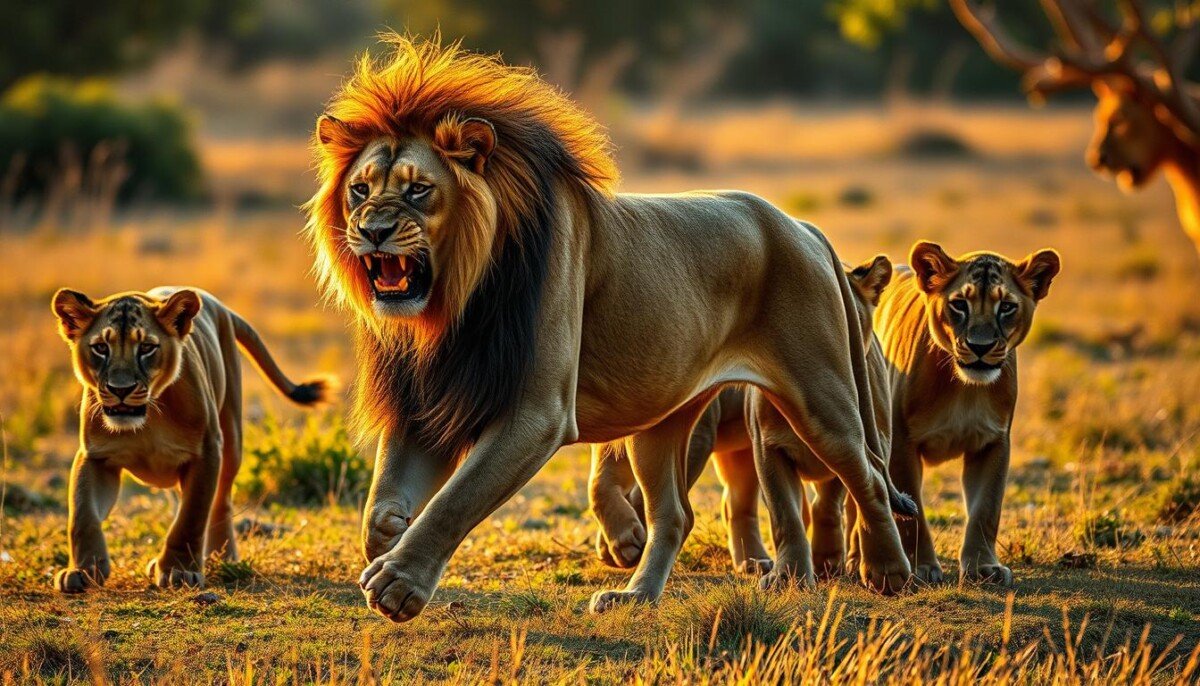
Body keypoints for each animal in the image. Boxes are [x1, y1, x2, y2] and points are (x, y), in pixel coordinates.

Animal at [50, 287, 332, 592]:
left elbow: (191, 516)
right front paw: (82, 570)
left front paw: (179, 570)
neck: (148, 419)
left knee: (221, 501)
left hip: (231, 438)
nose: (120, 389)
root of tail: (219, 305)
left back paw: (222, 558)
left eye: (146, 347)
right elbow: (83, 515)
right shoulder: (96, 457)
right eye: (101, 347)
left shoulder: (206, 452)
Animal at [878, 242, 1060, 585]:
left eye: (1006, 307)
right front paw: (922, 568)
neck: (965, 389)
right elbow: (912, 516)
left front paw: (983, 568)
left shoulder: (993, 442)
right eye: (959, 304)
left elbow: (985, 510)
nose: (980, 346)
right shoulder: (902, 443)